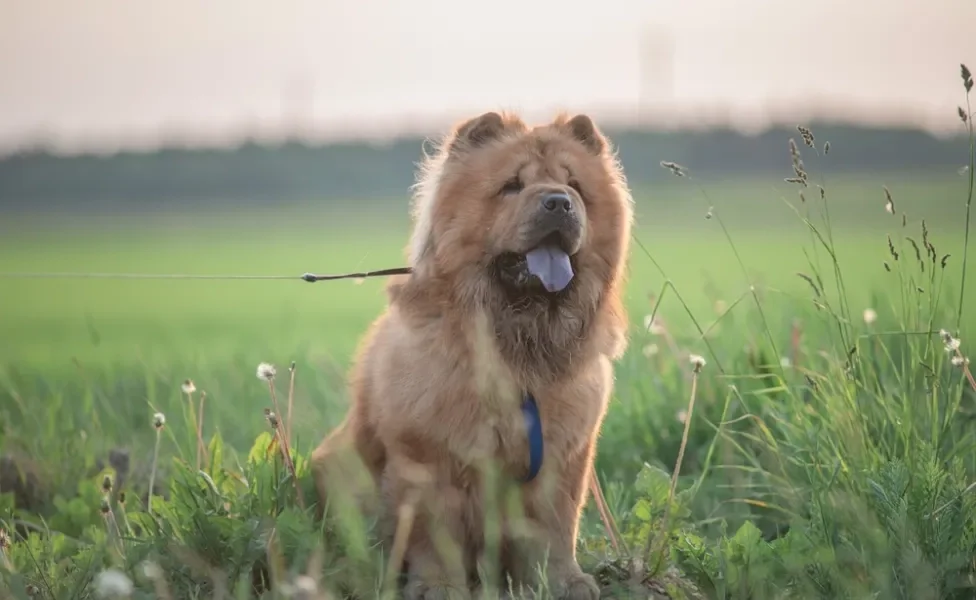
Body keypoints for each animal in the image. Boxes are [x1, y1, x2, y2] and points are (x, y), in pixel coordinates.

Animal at [310, 112, 632, 600]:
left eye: (572, 184)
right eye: (512, 186)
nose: (559, 203)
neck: (517, 342)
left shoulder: (562, 456)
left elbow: (556, 527)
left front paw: (565, 582)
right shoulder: (430, 458)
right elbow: (434, 533)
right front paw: (439, 586)